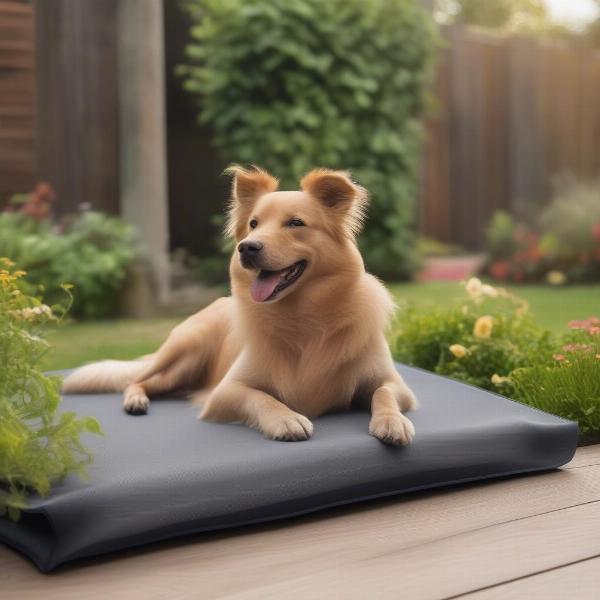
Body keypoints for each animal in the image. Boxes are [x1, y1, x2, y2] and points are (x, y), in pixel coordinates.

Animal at [62, 166, 418, 442]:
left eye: (296, 223)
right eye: (253, 224)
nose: (247, 248)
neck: (303, 317)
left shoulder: (397, 385)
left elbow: (383, 393)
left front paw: (391, 421)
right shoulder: (226, 391)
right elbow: (261, 398)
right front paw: (286, 418)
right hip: (185, 351)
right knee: (138, 378)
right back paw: (136, 400)